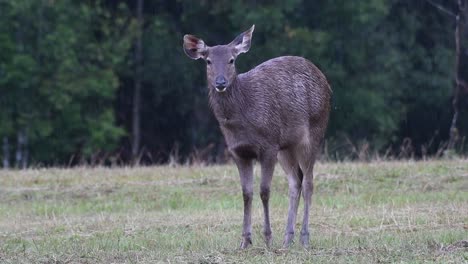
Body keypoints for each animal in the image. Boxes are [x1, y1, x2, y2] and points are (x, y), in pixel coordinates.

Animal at [183, 24, 332, 248]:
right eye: (208, 61)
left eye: (232, 60)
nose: (220, 82)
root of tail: (326, 83)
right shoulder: (238, 151)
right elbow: (247, 193)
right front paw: (245, 240)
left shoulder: (268, 145)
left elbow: (264, 191)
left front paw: (268, 237)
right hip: (286, 146)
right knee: (295, 181)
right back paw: (287, 238)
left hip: (313, 132)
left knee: (308, 182)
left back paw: (304, 238)